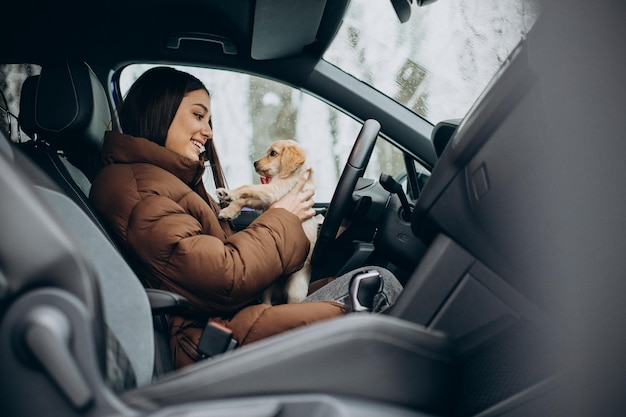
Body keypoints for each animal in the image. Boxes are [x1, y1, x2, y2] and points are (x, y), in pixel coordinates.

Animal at [217, 140, 320, 306]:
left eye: (273, 153)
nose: (254, 163)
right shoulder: (264, 200)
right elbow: (244, 199)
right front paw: (228, 210)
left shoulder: (273, 190)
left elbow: (247, 187)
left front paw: (229, 193)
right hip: (266, 287)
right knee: (266, 301)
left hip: (295, 289)